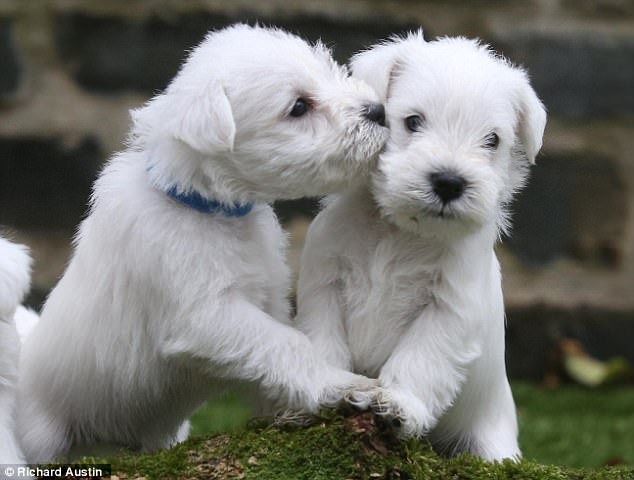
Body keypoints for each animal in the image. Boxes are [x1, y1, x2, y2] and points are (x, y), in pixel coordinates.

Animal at [17, 24, 386, 464]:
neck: (211, 211)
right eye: (298, 107)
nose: (379, 111)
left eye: (330, 69)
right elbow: (287, 344)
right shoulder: (205, 314)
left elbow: (279, 355)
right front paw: (341, 385)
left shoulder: (268, 302)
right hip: (39, 437)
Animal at [294, 31, 544, 460]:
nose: (449, 182)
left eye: (492, 140)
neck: (401, 231)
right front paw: (327, 393)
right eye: (413, 121)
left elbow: (420, 360)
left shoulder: (449, 309)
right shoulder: (324, 283)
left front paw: (396, 405)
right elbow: (324, 341)